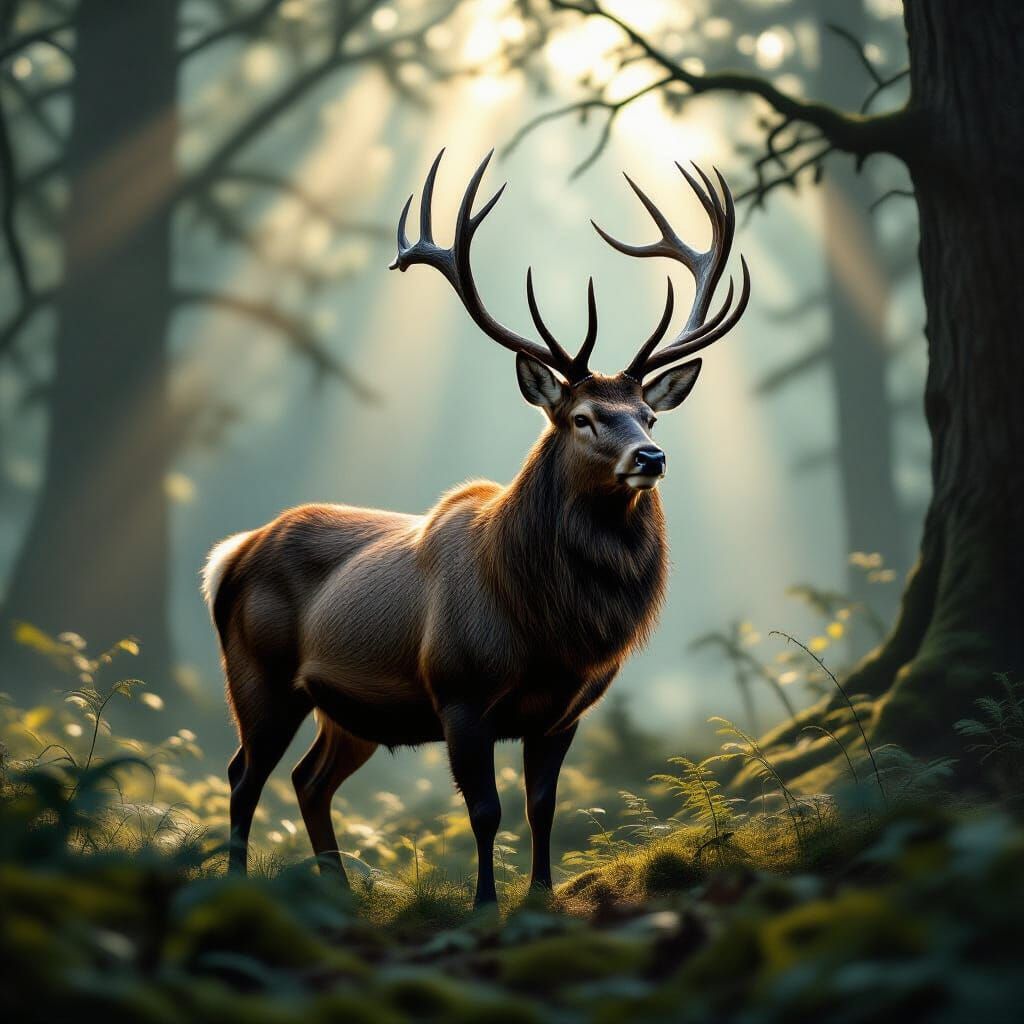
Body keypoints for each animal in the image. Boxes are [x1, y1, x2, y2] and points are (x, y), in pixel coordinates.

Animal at [202, 150, 750, 905]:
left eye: (648, 414)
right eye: (583, 418)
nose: (651, 457)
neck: (548, 628)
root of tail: (229, 557)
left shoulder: (565, 710)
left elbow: (542, 806)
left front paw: (541, 896)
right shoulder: (460, 692)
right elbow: (485, 812)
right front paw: (486, 902)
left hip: (349, 709)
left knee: (308, 780)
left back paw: (339, 891)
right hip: (259, 672)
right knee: (242, 774)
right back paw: (237, 882)